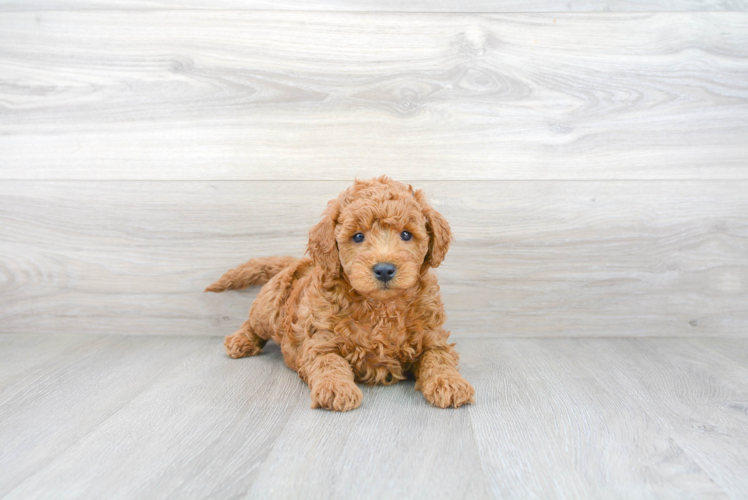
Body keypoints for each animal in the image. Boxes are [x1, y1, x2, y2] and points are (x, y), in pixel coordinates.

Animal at [205, 176, 474, 410]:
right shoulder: (320, 341)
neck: (381, 307)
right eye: (358, 236)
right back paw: (242, 340)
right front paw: (336, 389)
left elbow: (438, 358)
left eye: (406, 234)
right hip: (268, 306)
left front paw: (450, 383)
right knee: (253, 321)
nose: (384, 270)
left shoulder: (432, 336)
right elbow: (330, 363)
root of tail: (298, 262)